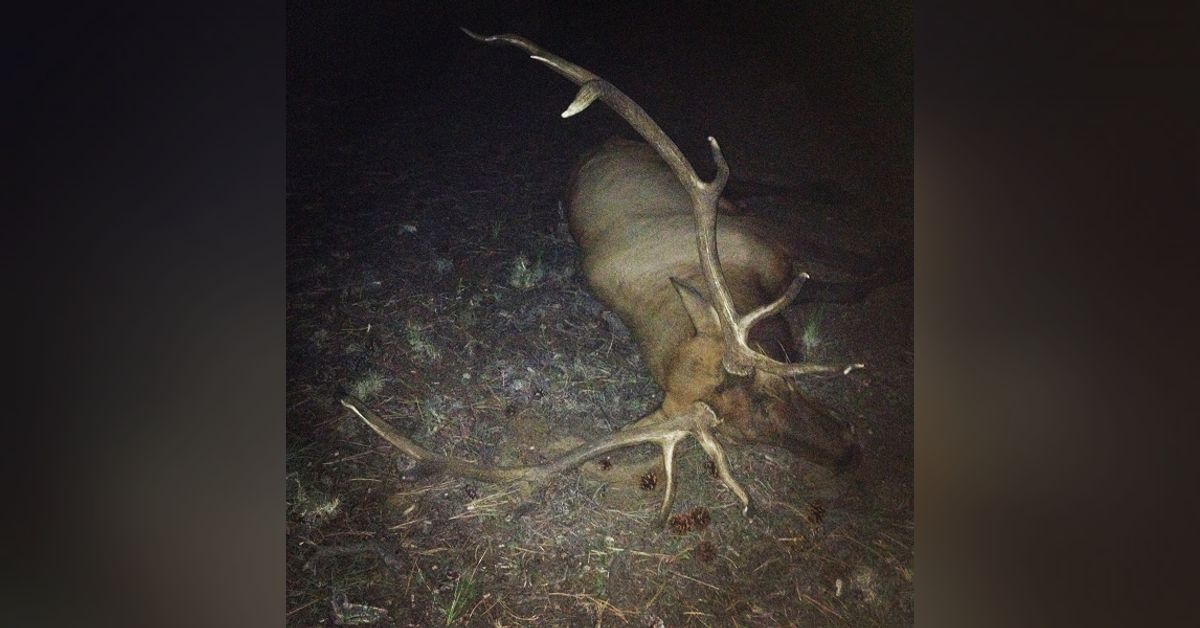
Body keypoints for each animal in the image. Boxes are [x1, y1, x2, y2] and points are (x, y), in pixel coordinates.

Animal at [340, 29, 867, 527]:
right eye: (739, 437)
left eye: (771, 387)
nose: (848, 453)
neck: (738, 288)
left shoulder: (771, 244)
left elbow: (862, 276)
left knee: (749, 182)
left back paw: (831, 190)